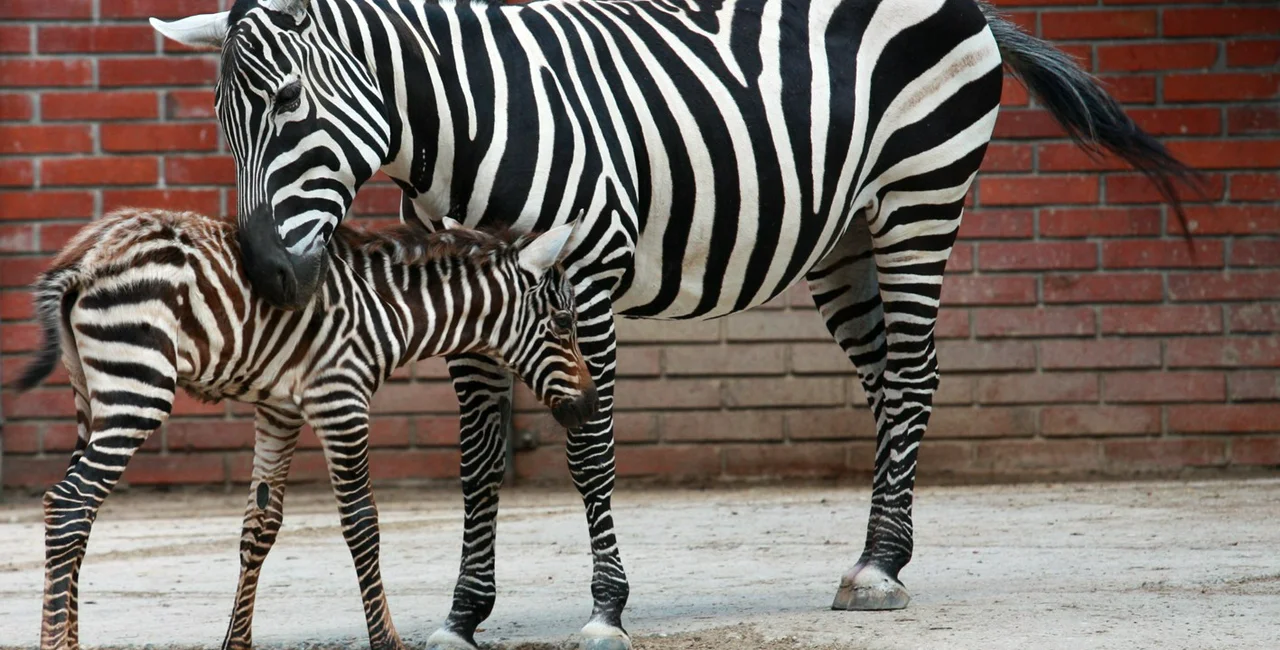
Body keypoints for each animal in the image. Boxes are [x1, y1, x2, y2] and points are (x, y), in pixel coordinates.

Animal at [10, 207, 595, 650]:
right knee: (69, 503)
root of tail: (84, 257)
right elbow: (362, 524)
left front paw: (237, 643)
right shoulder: (341, 399)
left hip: (91, 395)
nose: (589, 406)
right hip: (138, 387)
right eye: (564, 322)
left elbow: (260, 527)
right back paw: (56, 643)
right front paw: (387, 641)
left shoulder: (278, 411)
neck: (386, 309)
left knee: (77, 513)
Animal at [152, 0, 1197, 648]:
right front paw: (462, 614)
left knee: (911, 375)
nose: (270, 275)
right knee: (895, 382)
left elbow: (590, 442)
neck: (460, 131)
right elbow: (479, 458)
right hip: (844, 235)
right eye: (222, 121)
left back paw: (876, 573)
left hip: (920, 200)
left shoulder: (587, 273)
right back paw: (881, 554)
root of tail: (968, 7)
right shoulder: (477, 302)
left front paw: (607, 609)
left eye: (289, 102)